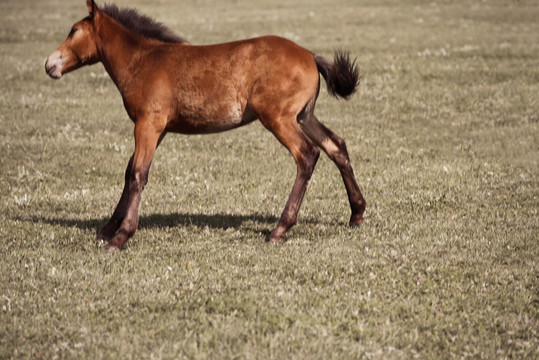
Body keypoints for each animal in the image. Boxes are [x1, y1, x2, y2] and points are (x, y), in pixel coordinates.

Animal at [45, 0, 368, 250]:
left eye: (74, 30)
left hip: (279, 118)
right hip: (303, 116)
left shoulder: (148, 124)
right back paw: (357, 213)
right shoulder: (158, 129)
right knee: (336, 145)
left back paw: (280, 229)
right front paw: (107, 229)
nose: (50, 64)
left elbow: (138, 175)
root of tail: (311, 56)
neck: (144, 60)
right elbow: (129, 173)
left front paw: (120, 236)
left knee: (308, 154)